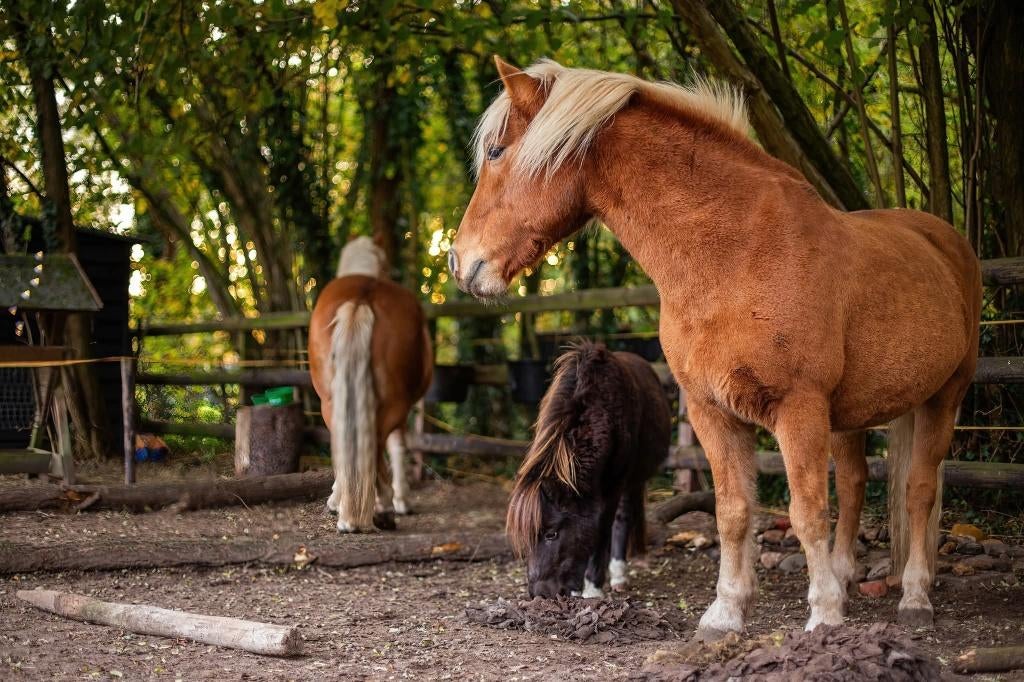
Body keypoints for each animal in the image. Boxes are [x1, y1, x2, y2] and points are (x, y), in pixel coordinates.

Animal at [308, 236, 433, 532]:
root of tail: (362, 296)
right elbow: (398, 447)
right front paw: (402, 500)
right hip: (394, 405)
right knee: (376, 444)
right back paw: (383, 507)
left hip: (330, 402)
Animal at [506, 341, 671, 599]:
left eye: (551, 534)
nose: (540, 594)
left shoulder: (613, 485)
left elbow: (602, 529)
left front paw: (592, 587)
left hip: (633, 480)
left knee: (623, 518)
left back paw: (619, 574)